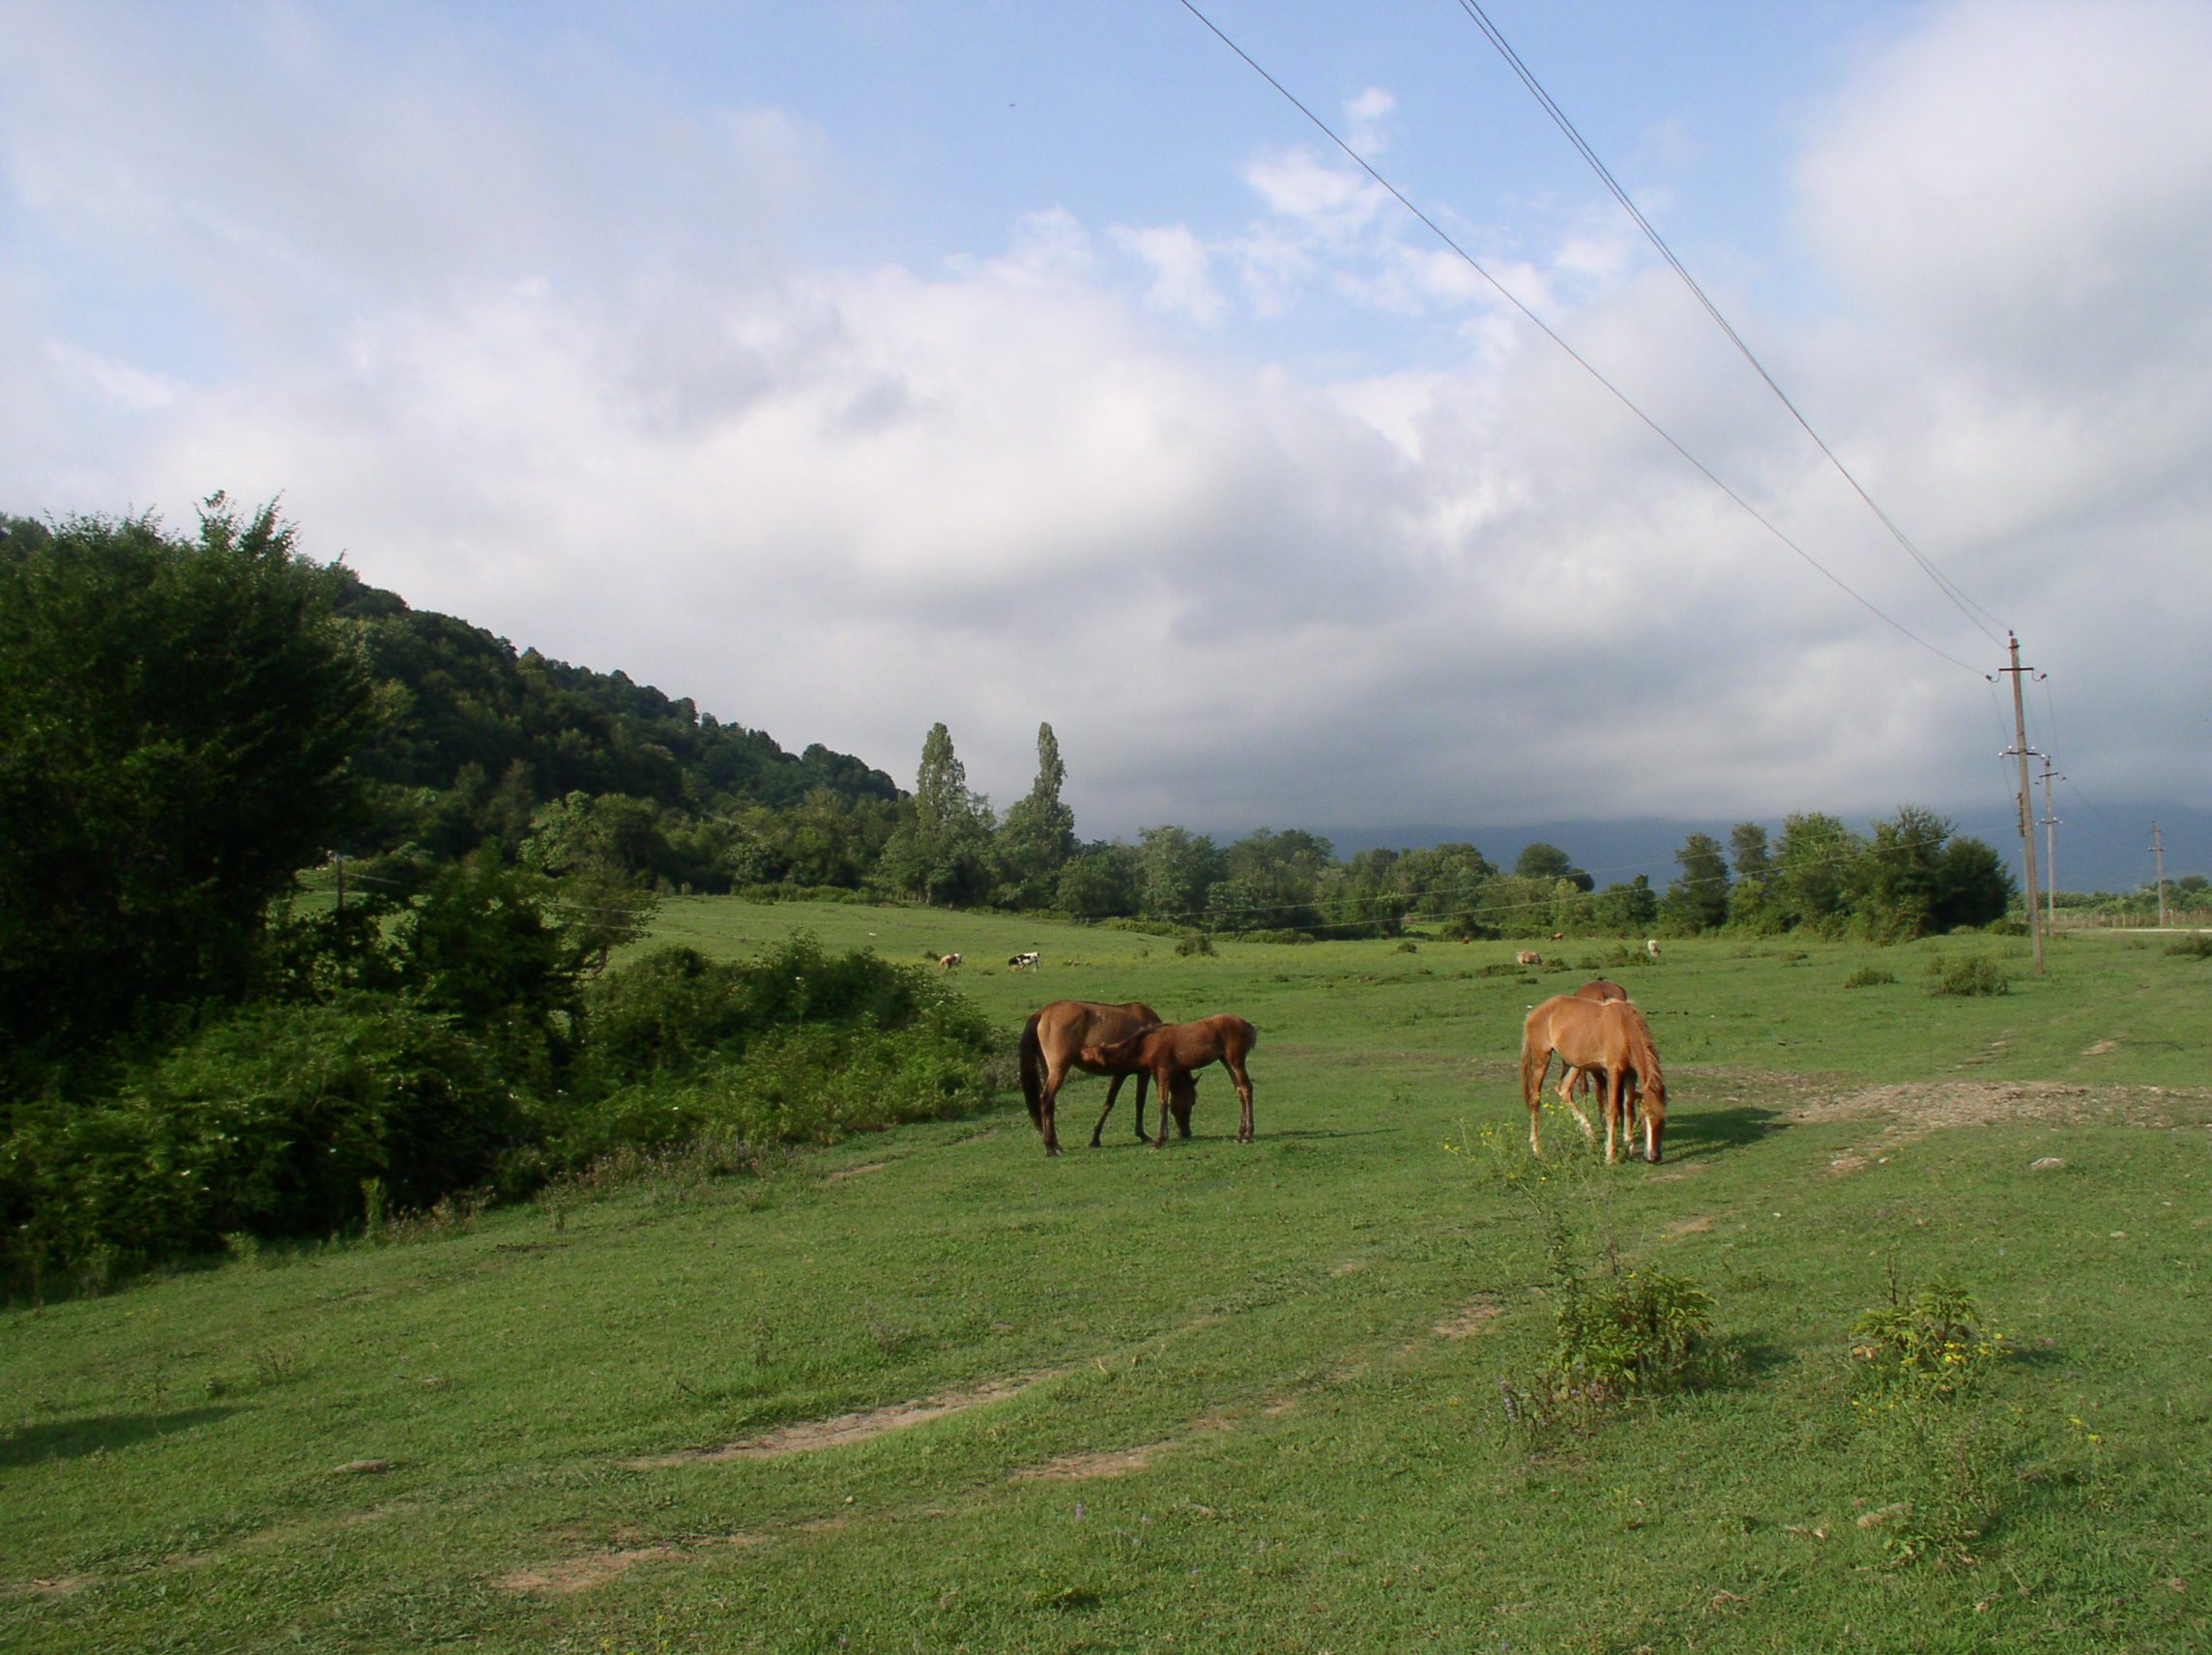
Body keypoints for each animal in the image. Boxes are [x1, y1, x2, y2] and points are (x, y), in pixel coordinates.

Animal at [1017, 1000, 1168, 1159]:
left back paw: (1056, 1145)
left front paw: (1095, 1138)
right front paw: (1142, 1135)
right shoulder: (1142, 1072)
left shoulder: (1121, 1073)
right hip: (1058, 1070)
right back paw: (1050, 1148)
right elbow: (1139, 1102)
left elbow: (1109, 1102)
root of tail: (1041, 1013)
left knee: (1050, 1104)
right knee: (1046, 1099)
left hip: (1049, 1070)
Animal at [1074, 1013, 1256, 1142]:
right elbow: (1162, 1100)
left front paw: (1160, 1139)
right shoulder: (1157, 1072)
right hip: (1225, 1060)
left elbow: (1163, 1101)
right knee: (1239, 1089)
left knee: (1247, 1088)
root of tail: (1250, 1028)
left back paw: (1248, 1135)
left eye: (1088, 1054)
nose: (1077, 1053)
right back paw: (1240, 1134)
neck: (1145, 1045)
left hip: (1236, 1061)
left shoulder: (1163, 1070)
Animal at [1512, 995, 1663, 1159]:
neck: (1625, 1028)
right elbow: (1613, 1109)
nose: (1653, 1157)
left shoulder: (1630, 1073)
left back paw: (1591, 1137)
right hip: (1542, 1058)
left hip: (1573, 1064)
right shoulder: (1614, 1070)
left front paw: (1630, 1146)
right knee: (1535, 1099)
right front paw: (1610, 1155)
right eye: (1646, 1117)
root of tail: (1533, 1013)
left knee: (1563, 1090)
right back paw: (1537, 1150)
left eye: (1662, 1119)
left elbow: (1628, 1107)